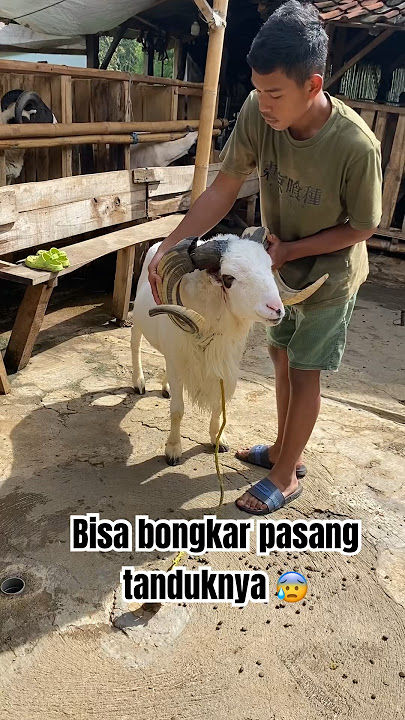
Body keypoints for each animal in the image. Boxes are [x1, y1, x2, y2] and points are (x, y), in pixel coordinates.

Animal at [132, 226, 328, 465]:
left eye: (268, 267)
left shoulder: (223, 367)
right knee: (134, 345)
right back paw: (139, 383)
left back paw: (164, 388)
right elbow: (177, 410)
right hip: (138, 326)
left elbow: (219, 407)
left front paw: (218, 440)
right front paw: (173, 450)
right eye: (228, 278)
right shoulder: (178, 365)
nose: (276, 309)